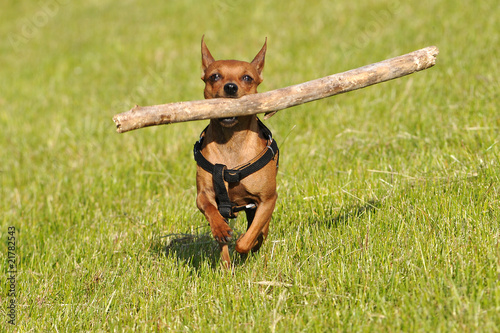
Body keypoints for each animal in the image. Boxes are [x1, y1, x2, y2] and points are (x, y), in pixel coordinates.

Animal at [193, 35, 280, 268]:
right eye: (215, 76)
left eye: (247, 78)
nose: (230, 87)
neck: (231, 143)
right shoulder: (203, 196)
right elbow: (213, 214)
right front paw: (221, 232)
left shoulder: (267, 200)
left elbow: (247, 239)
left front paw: (247, 243)